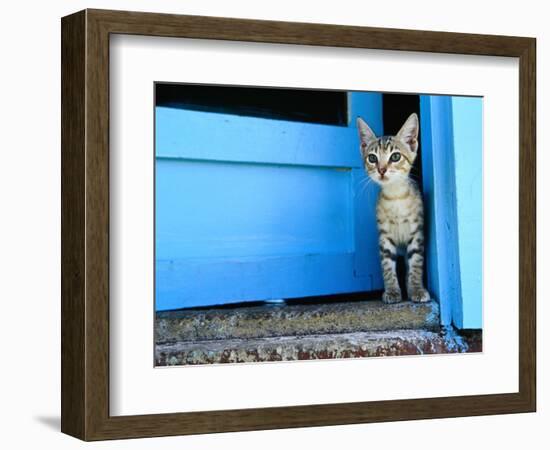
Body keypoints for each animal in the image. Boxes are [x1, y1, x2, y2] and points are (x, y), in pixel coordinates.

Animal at [358, 112, 432, 304]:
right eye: (372, 158)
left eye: (395, 157)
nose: (382, 169)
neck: (395, 197)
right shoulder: (384, 237)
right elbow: (387, 266)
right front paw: (391, 291)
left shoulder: (417, 234)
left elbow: (416, 263)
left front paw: (416, 289)